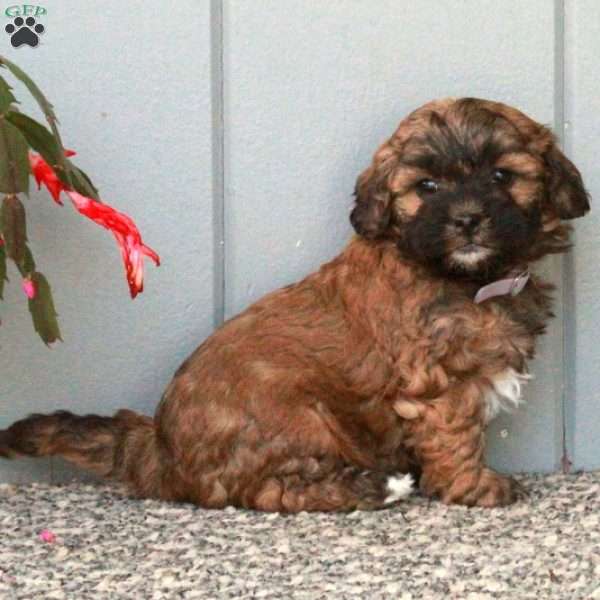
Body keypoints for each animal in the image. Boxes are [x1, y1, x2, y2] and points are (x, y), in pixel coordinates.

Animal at [0, 98, 592, 510]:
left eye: (502, 176)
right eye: (426, 186)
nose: (467, 219)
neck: (466, 278)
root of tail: (158, 449)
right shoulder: (435, 382)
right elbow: (457, 434)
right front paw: (475, 487)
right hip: (297, 414)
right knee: (272, 491)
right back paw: (379, 487)